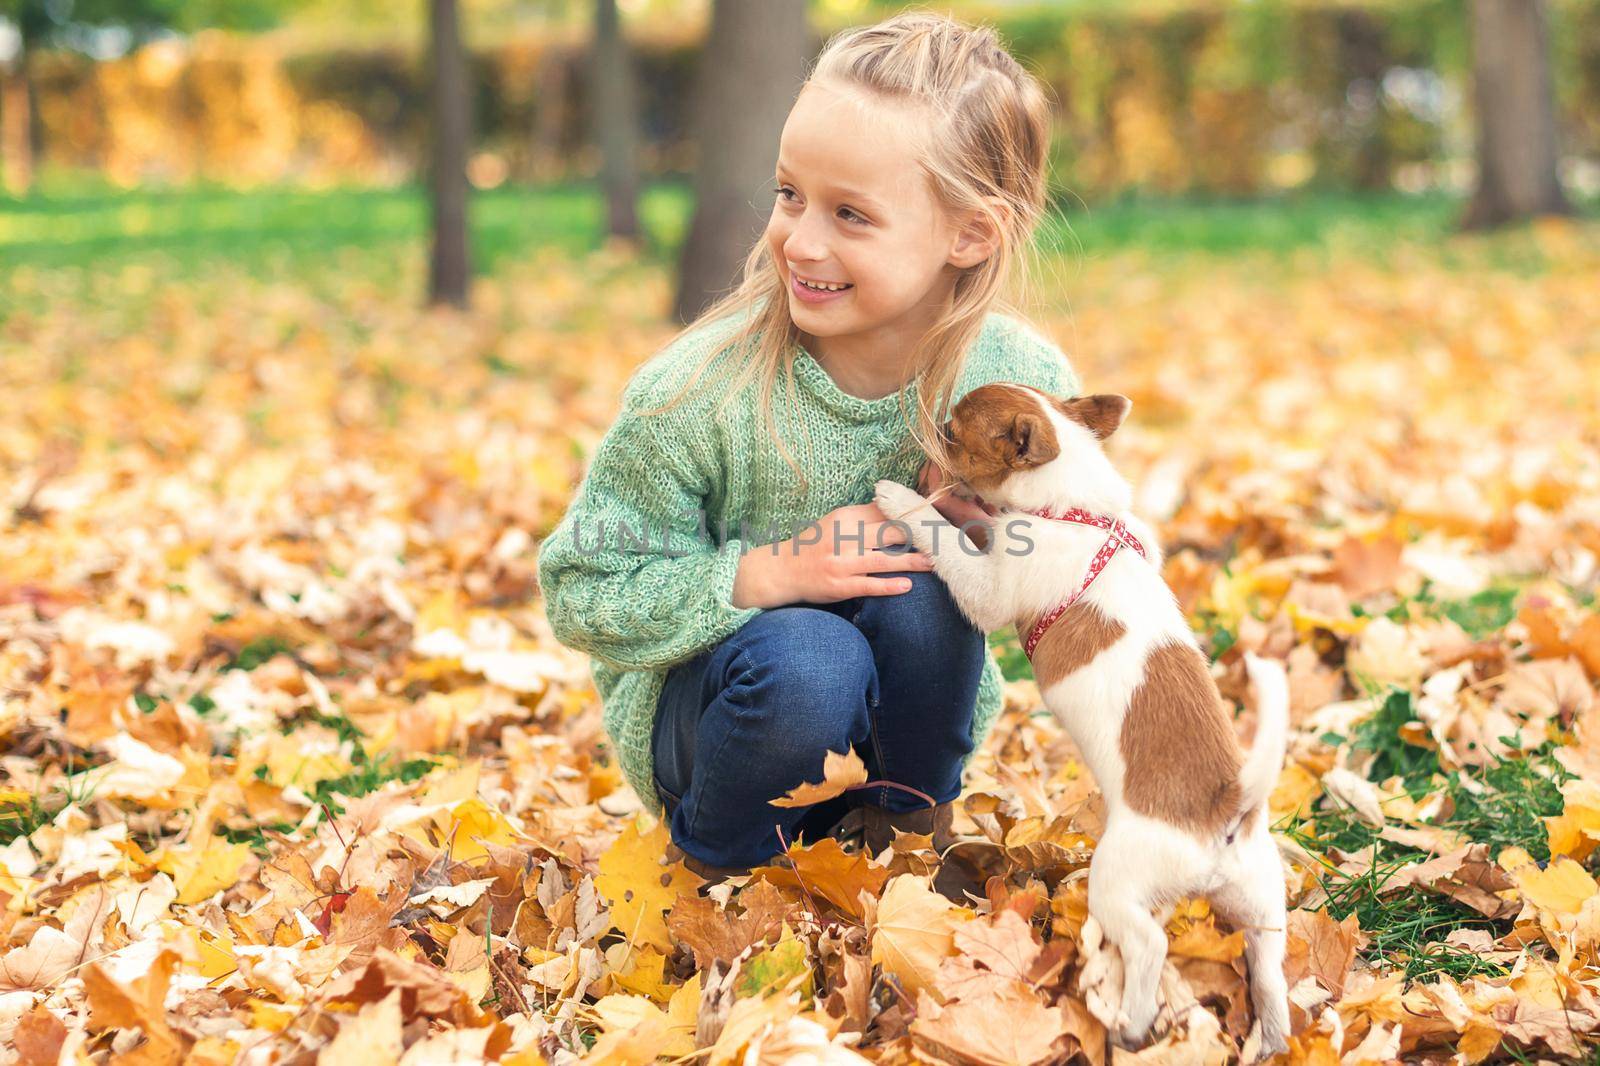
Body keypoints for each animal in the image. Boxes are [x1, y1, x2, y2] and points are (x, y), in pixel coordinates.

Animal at [876, 384, 1286, 1056]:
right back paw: (1275, 1040)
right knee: (1270, 971)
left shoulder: (990, 589)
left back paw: (1130, 1022)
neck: (1073, 508)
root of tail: (1225, 806)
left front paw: (901, 500)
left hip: (1118, 879)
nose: (927, 430)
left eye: (954, 434)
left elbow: (949, 539)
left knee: (1149, 945)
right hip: (1261, 900)